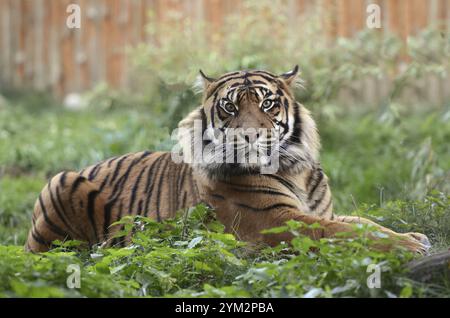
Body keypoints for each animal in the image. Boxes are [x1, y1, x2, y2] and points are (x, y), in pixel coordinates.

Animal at [25, 67, 432, 253]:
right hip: (59, 183)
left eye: (267, 103)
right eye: (229, 107)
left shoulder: (319, 211)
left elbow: (362, 222)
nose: (249, 135)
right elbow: (341, 232)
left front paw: (414, 236)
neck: (295, 170)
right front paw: (408, 247)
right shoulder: (274, 220)